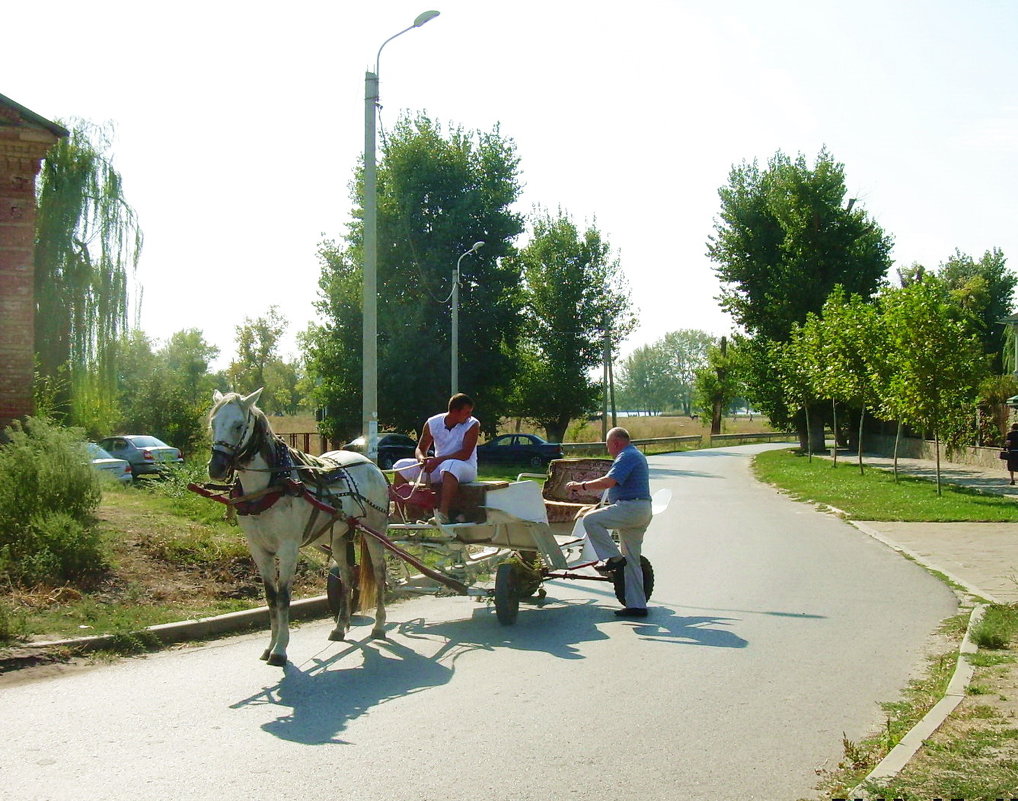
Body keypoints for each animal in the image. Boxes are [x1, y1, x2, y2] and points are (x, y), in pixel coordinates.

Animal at [204, 388, 386, 663]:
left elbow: (283, 596)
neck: (272, 484)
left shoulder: (288, 548)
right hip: (338, 537)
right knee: (346, 575)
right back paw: (340, 627)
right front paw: (269, 646)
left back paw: (379, 625)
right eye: (213, 423)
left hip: (375, 533)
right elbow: (270, 597)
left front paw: (280, 649)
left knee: (379, 572)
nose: (216, 468)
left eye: (238, 425)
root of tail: (369, 463)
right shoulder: (259, 549)